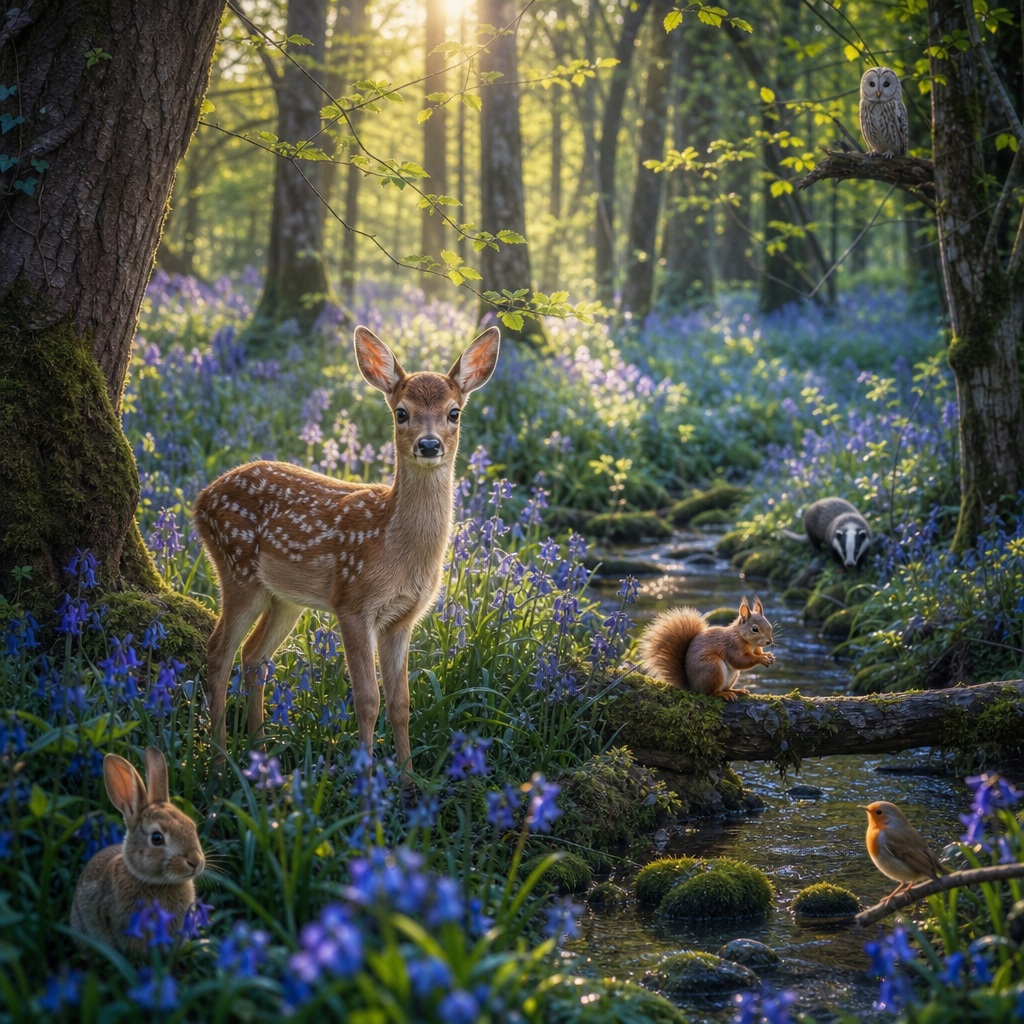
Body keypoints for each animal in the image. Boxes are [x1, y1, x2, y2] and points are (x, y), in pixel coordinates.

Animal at [192, 325, 501, 776]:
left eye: (454, 412)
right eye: (401, 412)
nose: (428, 445)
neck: (394, 546)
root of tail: (200, 500)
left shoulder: (402, 618)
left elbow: (402, 703)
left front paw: (409, 781)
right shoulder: (353, 603)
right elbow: (368, 699)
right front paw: (367, 781)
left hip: (284, 597)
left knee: (254, 656)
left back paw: (260, 751)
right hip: (236, 568)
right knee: (218, 654)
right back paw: (218, 760)